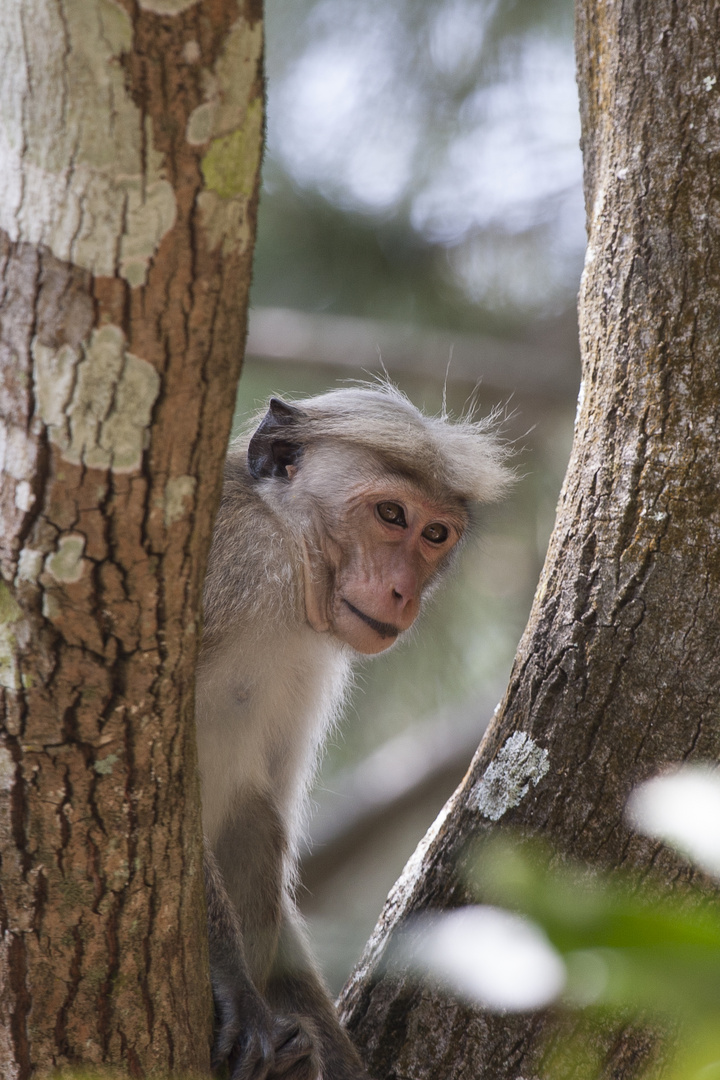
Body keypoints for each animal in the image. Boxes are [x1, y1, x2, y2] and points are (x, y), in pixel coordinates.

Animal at [197, 386, 511, 1080]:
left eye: (434, 533)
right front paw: (234, 987)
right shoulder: (233, 567)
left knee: (258, 822)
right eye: (390, 514)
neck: (288, 553)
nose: (402, 593)